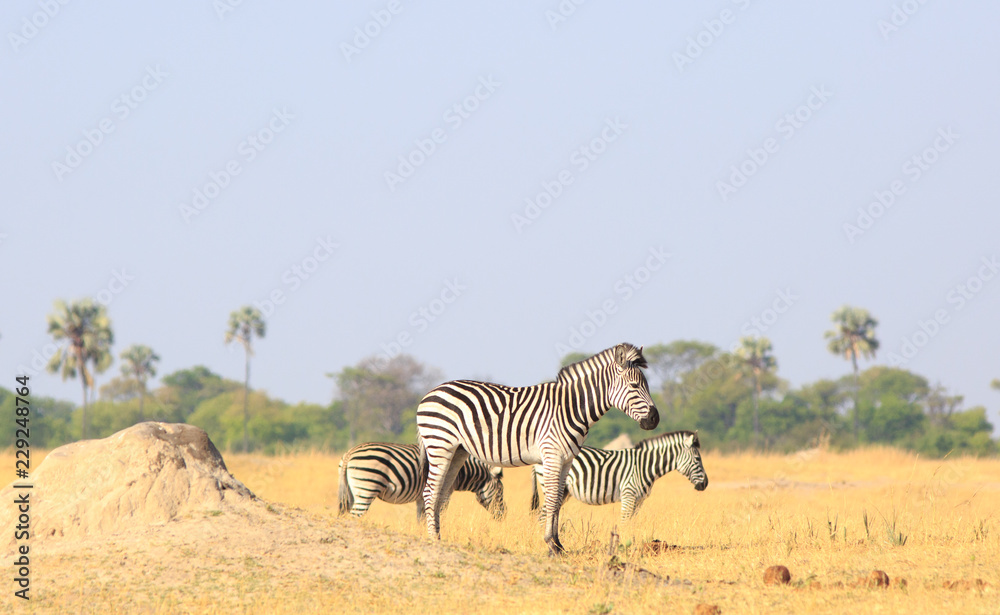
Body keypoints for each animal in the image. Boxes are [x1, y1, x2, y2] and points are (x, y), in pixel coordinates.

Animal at [338, 442, 505, 519]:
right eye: (500, 492)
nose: (504, 515)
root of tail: (350, 452)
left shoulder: (421, 497)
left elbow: (421, 518)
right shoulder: (444, 494)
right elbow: (438, 515)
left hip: (351, 493)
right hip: (366, 489)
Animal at [416, 343, 659, 554]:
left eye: (647, 386)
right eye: (634, 386)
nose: (654, 420)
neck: (569, 408)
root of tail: (430, 393)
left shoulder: (567, 458)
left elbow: (558, 499)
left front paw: (559, 545)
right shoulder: (552, 455)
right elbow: (551, 499)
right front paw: (550, 544)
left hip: (457, 451)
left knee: (440, 494)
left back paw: (439, 537)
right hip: (439, 445)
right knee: (430, 491)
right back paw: (433, 539)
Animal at [529, 430, 708, 522]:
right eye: (698, 459)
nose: (705, 484)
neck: (644, 466)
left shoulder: (639, 501)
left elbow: (631, 524)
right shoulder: (629, 496)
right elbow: (624, 523)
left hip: (564, 491)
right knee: (542, 515)